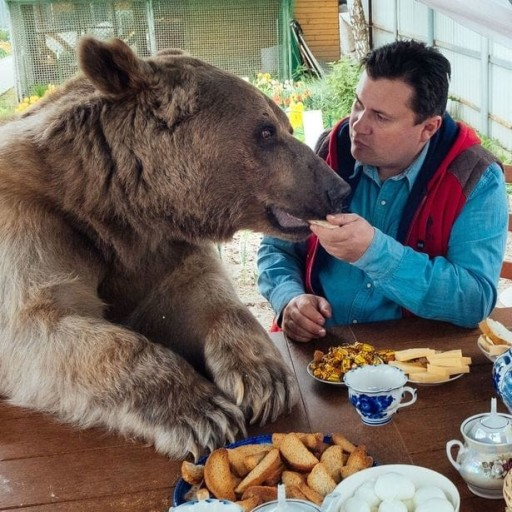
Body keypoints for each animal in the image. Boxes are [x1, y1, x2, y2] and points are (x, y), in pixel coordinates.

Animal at [0, 37, 350, 460]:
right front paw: (203, 411)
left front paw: (264, 380)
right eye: (267, 131)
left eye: (284, 124)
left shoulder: (159, 251)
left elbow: (203, 296)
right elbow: (44, 319)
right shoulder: (35, 219)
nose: (338, 188)